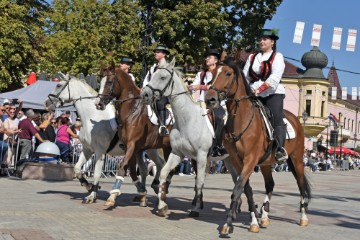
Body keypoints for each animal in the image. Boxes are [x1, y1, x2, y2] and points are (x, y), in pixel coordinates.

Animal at [44, 77, 159, 206]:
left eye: (58, 85)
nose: (47, 103)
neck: (92, 116)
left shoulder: (100, 152)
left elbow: (96, 173)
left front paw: (92, 195)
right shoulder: (87, 149)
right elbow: (77, 168)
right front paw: (88, 185)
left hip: (152, 150)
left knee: (160, 164)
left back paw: (155, 187)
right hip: (138, 151)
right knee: (144, 170)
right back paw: (142, 194)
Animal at [97, 67, 173, 208]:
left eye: (109, 82)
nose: (98, 104)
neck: (132, 110)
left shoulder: (132, 145)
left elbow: (122, 167)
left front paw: (112, 197)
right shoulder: (129, 147)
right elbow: (132, 171)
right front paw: (142, 194)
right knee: (162, 166)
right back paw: (158, 187)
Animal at [141, 59, 239, 217]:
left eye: (162, 77)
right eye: (152, 75)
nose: (144, 94)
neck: (187, 120)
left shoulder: (201, 157)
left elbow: (199, 182)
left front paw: (195, 209)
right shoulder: (177, 153)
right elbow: (164, 173)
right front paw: (162, 206)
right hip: (229, 160)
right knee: (237, 179)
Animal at [205, 58, 312, 234]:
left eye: (228, 73)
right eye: (212, 73)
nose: (210, 99)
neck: (241, 120)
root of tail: (296, 120)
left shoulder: (250, 159)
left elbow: (238, 188)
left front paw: (228, 224)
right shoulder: (237, 160)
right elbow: (246, 189)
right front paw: (254, 221)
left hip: (297, 160)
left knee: (301, 185)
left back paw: (303, 218)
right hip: (266, 164)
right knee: (270, 184)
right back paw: (264, 217)